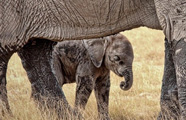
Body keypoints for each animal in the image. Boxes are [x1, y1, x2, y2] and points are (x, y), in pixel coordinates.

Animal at [0, 0, 185, 119]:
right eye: (116, 58)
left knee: (35, 48)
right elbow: (87, 82)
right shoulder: (87, 59)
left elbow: (104, 87)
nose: (123, 84)